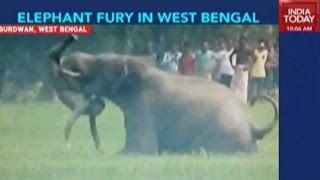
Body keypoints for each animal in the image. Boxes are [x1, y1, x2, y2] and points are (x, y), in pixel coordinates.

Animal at [53, 34, 278, 155]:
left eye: (101, 65)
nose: (97, 103)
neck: (137, 67)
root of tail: (253, 126)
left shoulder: (142, 108)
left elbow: (140, 150)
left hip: (222, 134)